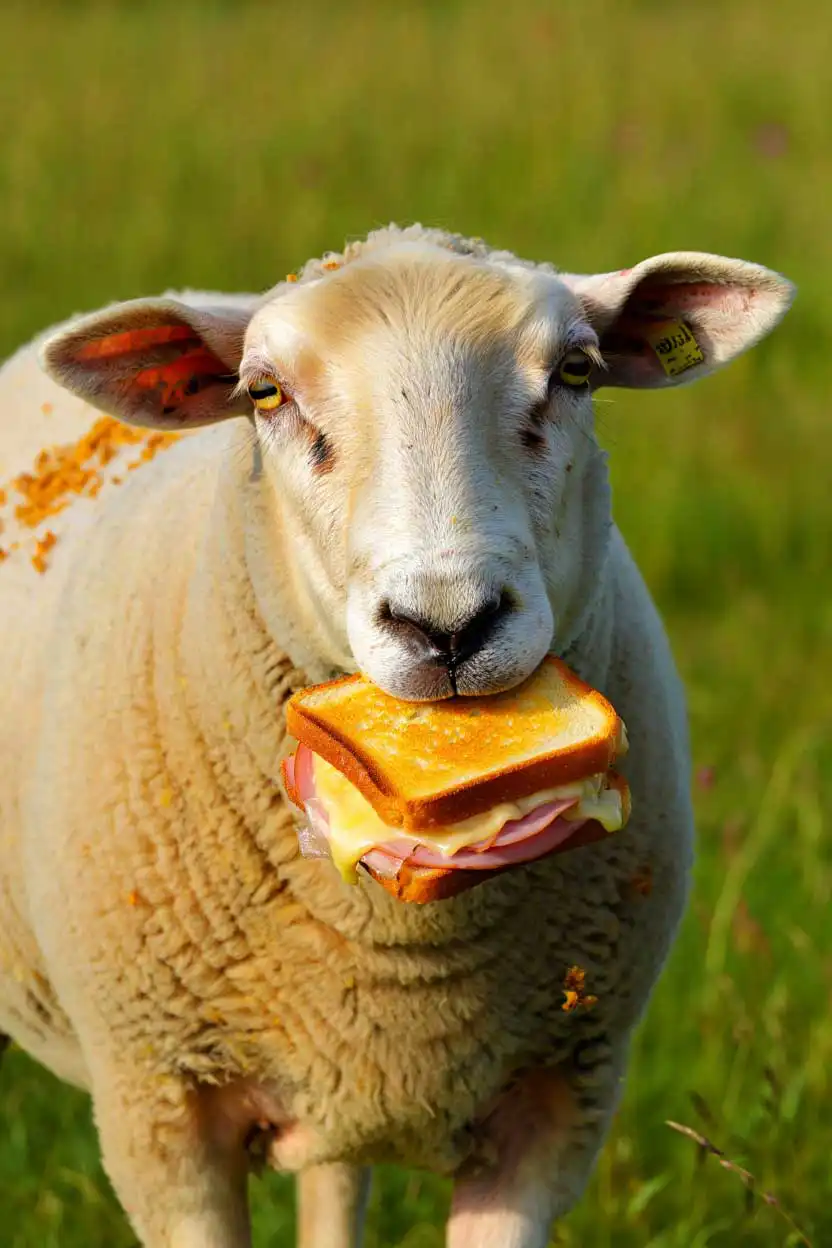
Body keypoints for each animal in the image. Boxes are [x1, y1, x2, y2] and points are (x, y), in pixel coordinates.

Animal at [0, 224, 793, 1248]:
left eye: (576, 370)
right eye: (265, 394)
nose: (448, 625)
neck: (405, 953)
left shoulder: (557, 1099)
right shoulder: (162, 1116)